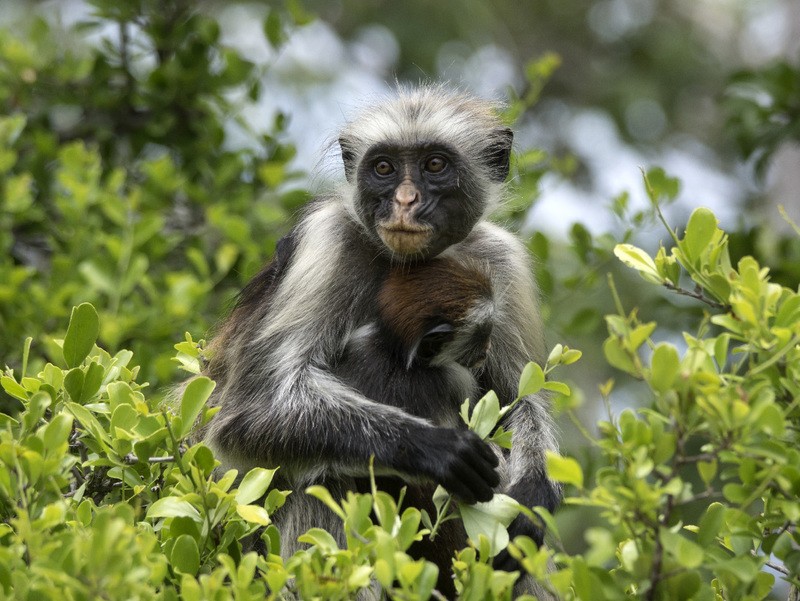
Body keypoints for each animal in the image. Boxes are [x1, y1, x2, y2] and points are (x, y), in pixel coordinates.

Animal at [203, 85, 560, 596]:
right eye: (384, 168)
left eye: (435, 164)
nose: (406, 201)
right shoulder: (328, 240)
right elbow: (249, 413)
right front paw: (435, 449)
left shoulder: (500, 257)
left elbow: (520, 400)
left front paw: (531, 497)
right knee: (321, 476)